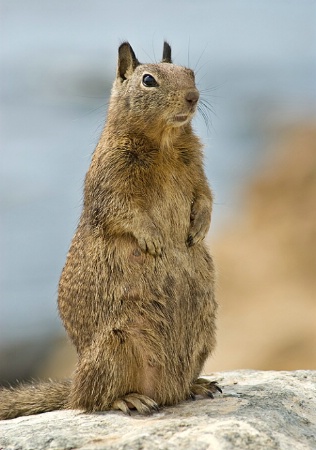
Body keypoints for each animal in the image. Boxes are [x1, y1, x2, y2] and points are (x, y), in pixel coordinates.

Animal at [0, 40, 220, 420]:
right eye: (148, 80)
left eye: (190, 73)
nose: (192, 97)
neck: (164, 141)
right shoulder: (110, 179)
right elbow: (123, 211)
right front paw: (153, 239)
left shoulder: (198, 171)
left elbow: (206, 196)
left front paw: (197, 230)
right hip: (114, 346)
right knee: (92, 400)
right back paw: (130, 399)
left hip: (204, 334)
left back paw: (197, 386)